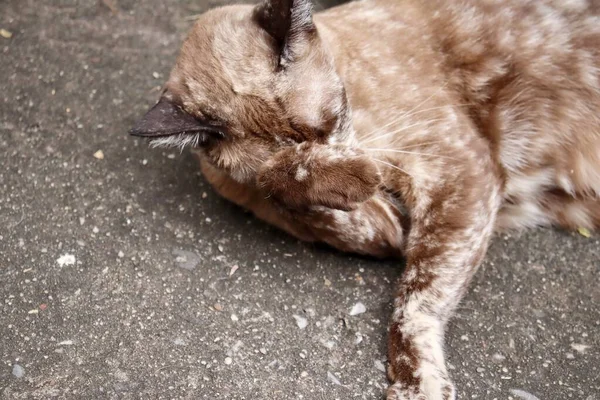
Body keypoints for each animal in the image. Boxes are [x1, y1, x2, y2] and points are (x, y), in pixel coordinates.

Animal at [130, 0, 600, 398]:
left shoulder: (456, 172)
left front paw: (417, 386)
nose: (342, 154)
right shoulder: (378, 226)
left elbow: (414, 300)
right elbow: (290, 188)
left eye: (330, 122)